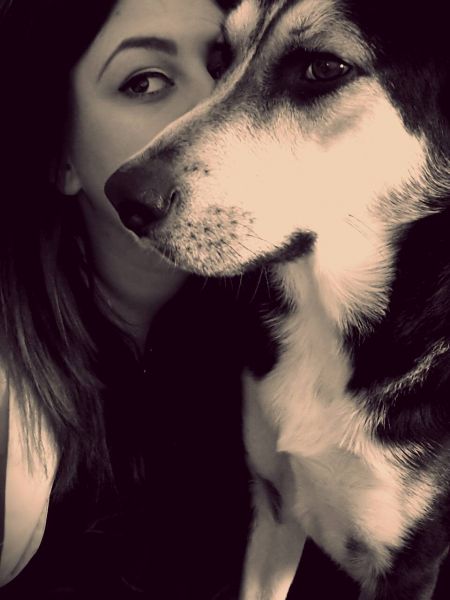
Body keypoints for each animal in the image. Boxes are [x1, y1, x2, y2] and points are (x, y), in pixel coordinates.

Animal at [105, 0, 450, 597]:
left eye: (325, 68)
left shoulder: (409, 565)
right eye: (220, 60)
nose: (123, 197)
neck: (328, 320)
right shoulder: (271, 506)